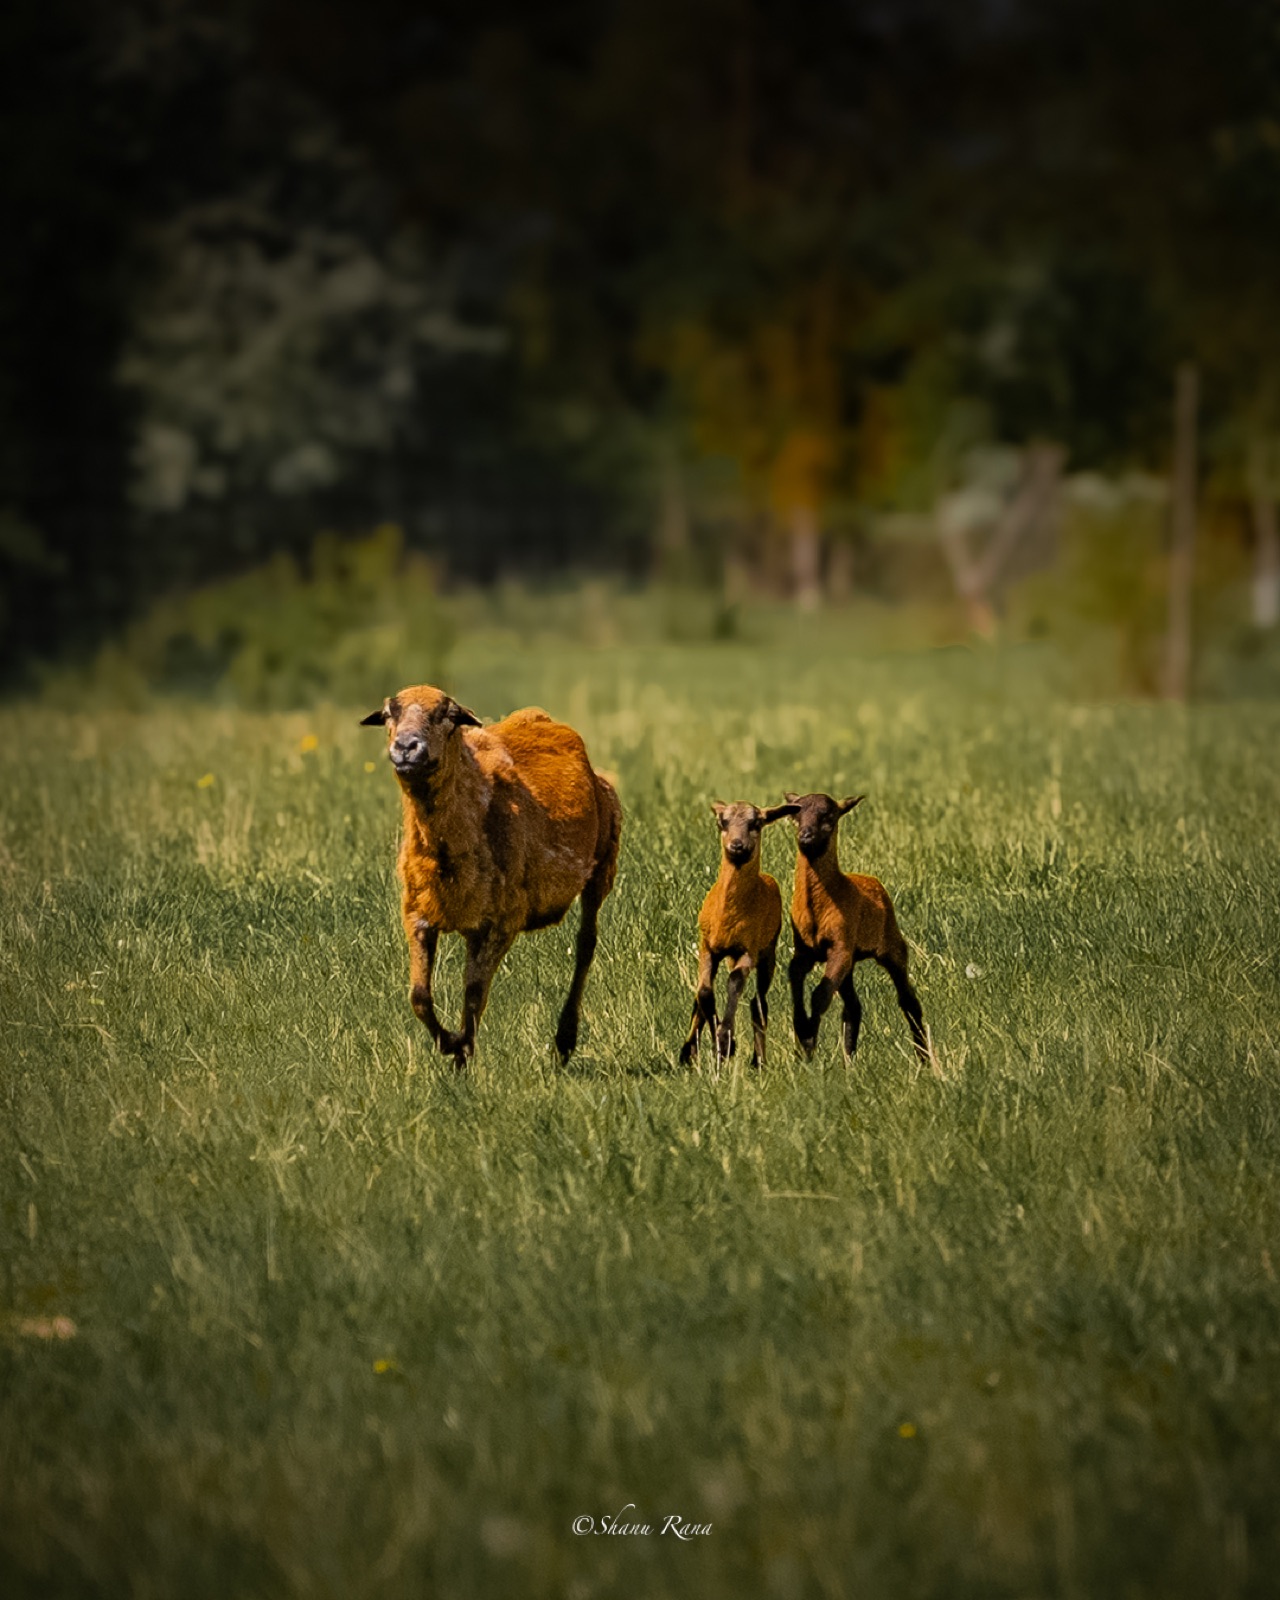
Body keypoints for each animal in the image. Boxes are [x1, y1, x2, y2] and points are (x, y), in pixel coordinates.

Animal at [361, 685, 621, 1065]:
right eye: (388, 714)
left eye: (449, 716)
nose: (407, 747)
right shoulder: (418, 914)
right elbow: (419, 996)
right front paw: (450, 1044)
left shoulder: (503, 922)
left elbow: (473, 991)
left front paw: (461, 1051)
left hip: (602, 868)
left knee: (586, 945)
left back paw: (565, 1041)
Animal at [679, 801, 800, 1067]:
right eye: (722, 823)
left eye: (756, 823)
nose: (737, 845)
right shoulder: (707, 948)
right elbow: (703, 993)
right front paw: (711, 1044)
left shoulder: (748, 950)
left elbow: (734, 982)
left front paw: (726, 1043)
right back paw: (689, 1051)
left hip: (768, 954)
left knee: (758, 1003)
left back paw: (758, 1061)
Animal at [784, 791, 928, 1063]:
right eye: (795, 814)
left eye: (828, 816)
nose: (805, 836)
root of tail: (872, 880)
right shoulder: (804, 953)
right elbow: (795, 981)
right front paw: (802, 1035)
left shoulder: (839, 946)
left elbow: (820, 995)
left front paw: (809, 1041)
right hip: (850, 962)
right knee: (853, 1007)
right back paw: (849, 1061)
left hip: (892, 948)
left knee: (908, 1001)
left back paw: (924, 1057)